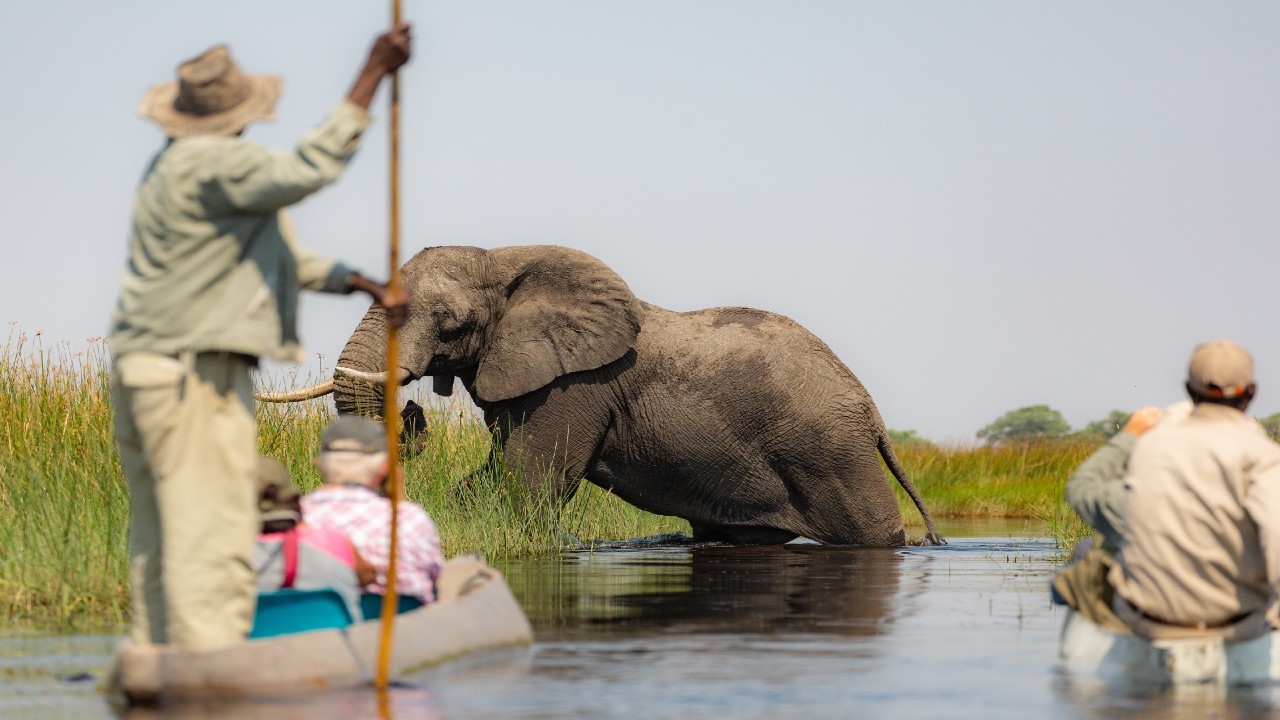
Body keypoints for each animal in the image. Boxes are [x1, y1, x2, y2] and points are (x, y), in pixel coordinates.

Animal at [260, 245, 941, 547]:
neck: (505, 259)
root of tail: (872, 411)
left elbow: (531, 483)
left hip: (830, 454)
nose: (413, 408)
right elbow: (491, 478)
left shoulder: (573, 387)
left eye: (448, 323)